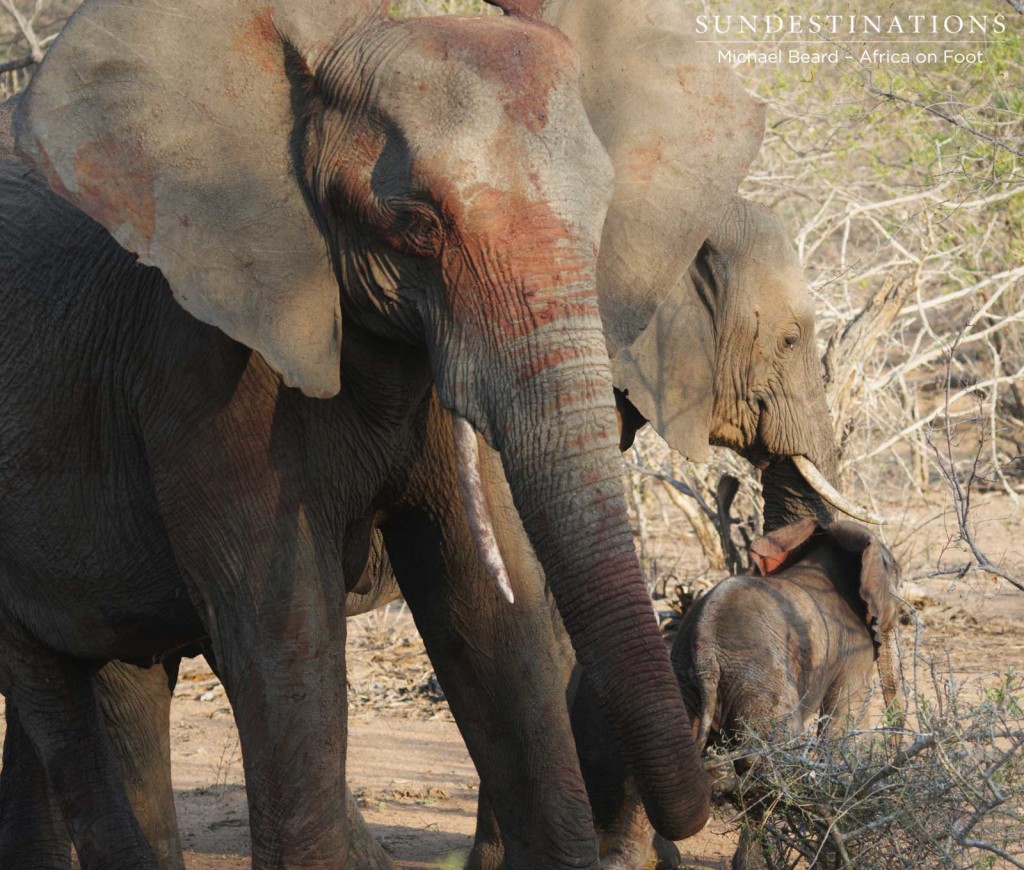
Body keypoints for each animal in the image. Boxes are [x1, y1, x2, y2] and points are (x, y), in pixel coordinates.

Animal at [0, 0, 708, 859]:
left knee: (123, 682)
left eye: (602, 213)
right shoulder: (195, 358)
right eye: (418, 224)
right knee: (56, 695)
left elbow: (492, 620)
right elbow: (284, 635)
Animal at [577, 517, 905, 863]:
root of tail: (705, 648)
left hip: (686, 686)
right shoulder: (854, 645)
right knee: (766, 766)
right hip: (759, 685)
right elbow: (844, 718)